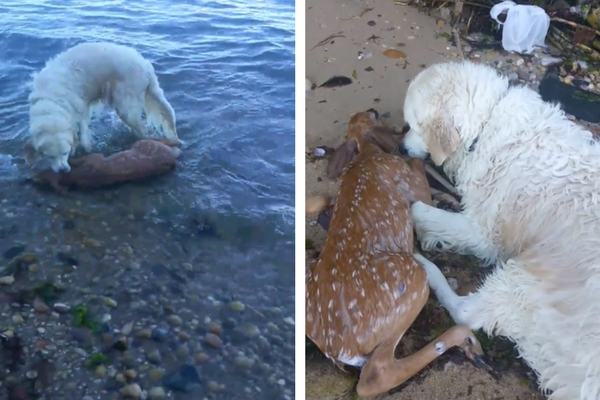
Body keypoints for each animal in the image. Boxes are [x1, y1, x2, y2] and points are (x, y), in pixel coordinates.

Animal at [25, 43, 178, 173]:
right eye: (49, 156)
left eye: (64, 153)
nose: (63, 170)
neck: (51, 103)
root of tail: (146, 66)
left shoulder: (81, 106)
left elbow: (83, 131)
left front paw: (85, 147)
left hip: (126, 106)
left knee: (142, 128)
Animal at [400, 61, 600, 398]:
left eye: (414, 124)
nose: (400, 148)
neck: (486, 124)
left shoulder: (481, 230)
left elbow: (419, 210)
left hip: (528, 277)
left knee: (468, 314)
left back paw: (425, 268)